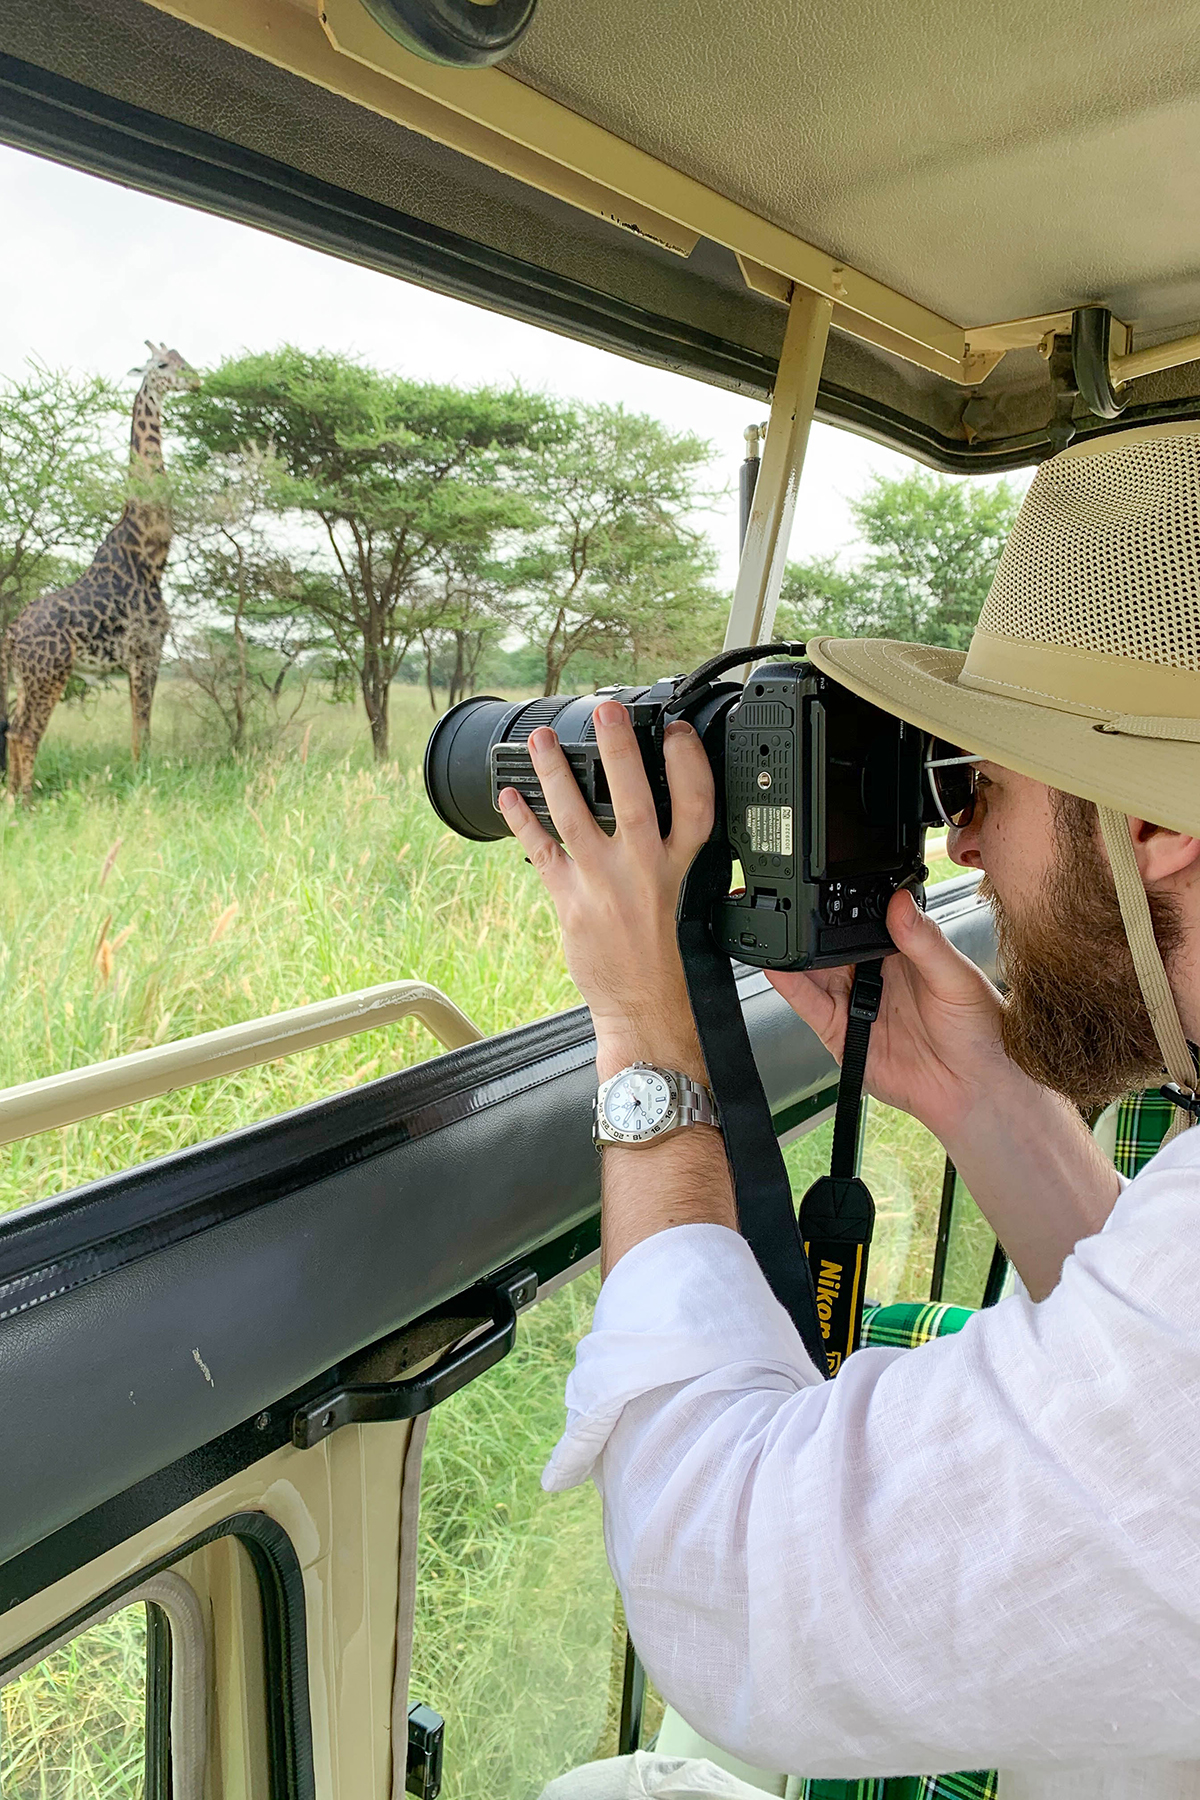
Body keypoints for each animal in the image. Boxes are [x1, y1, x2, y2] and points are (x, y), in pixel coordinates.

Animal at [1, 342, 200, 802]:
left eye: (184, 360)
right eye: (162, 365)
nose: (197, 381)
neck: (150, 556)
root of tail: (12, 631)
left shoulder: (139, 657)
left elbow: (138, 727)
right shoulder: (147, 650)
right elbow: (142, 728)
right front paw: (144, 779)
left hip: (24, 676)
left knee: (14, 730)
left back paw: (13, 796)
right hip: (49, 673)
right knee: (25, 732)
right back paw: (26, 801)